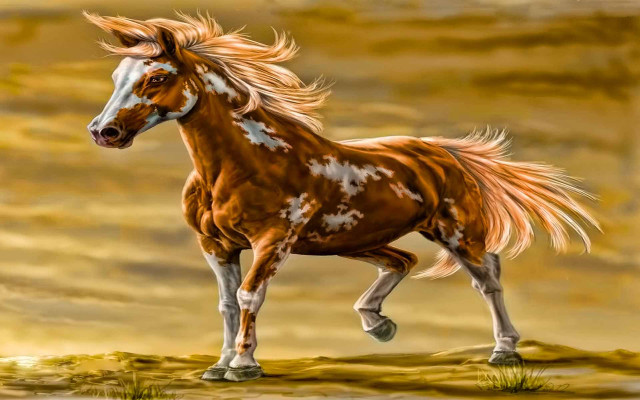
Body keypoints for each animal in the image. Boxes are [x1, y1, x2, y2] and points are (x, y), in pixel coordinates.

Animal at [84, 12, 600, 382]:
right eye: (116, 78)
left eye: (155, 78)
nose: (104, 132)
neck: (242, 164)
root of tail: (445, 154)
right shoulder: (216, 245)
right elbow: (228, 304)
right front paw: (218, 365)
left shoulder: (273, 241)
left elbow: (250, 295)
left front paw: (243, 367)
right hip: (354, 241)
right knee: (402, 261)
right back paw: (378, 325)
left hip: (456, 232)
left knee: (487, 278)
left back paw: (504, 351)